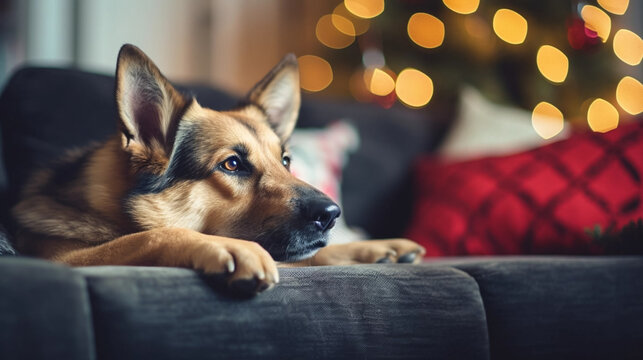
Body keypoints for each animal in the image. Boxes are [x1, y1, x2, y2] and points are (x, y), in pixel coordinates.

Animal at [12, 44, 426, 292]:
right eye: (232, 164)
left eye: (286, 161)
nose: (331, 214)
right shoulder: (64, 258)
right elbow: (150, 236)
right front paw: (227, 246)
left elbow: (313, 254)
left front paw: (375, 247)